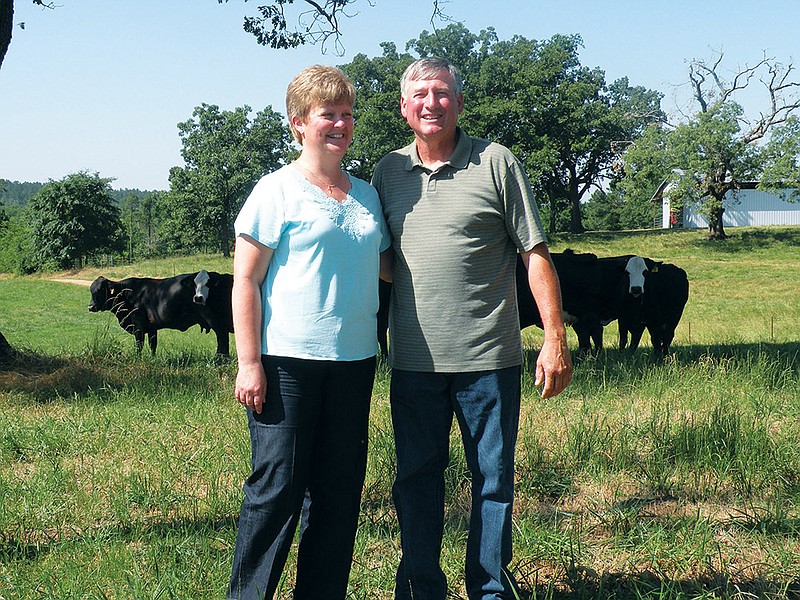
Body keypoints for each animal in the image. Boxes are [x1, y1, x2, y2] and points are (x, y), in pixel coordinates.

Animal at [90, 270, 236, 356]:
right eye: (91, 290)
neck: (128, 293)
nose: (90, 306)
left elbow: (139, 344)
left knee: (222, 339)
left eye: (100, 290)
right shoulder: (152, 327)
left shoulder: (138, 326)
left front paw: (138, 358)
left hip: (215, 322)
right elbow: (153, 345)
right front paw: (152, 358)